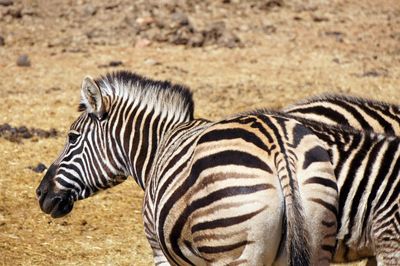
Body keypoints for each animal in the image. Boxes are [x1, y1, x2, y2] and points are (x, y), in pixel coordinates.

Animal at [36, 71, 338, 266]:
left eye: (72, 137)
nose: (40, 193)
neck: (160, 144)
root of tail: (277, 145)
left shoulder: (159, 249)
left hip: (231, 248)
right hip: (317, 236)